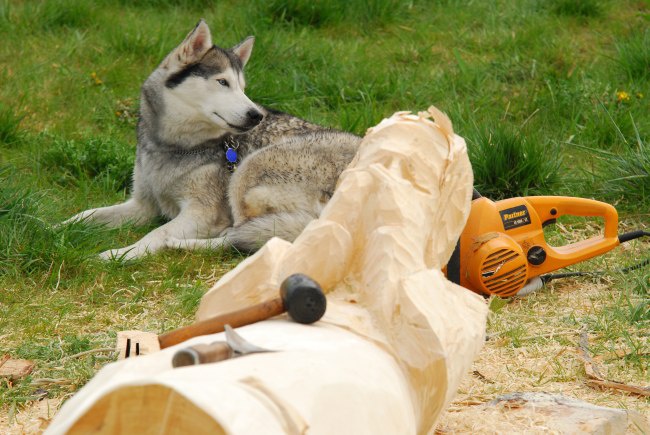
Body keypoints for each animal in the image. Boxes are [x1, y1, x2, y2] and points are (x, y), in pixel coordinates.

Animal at [65, 19, 360, 258]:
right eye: (222, 82)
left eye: (243, 88)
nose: (256, 116)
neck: (173, 146)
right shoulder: (142, 204)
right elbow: (87, 214)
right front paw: (59, 228)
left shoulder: (202, 212)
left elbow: (156, 233)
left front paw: (121, 254)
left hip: (247, 170)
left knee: (244, 238)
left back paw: (183, 245)